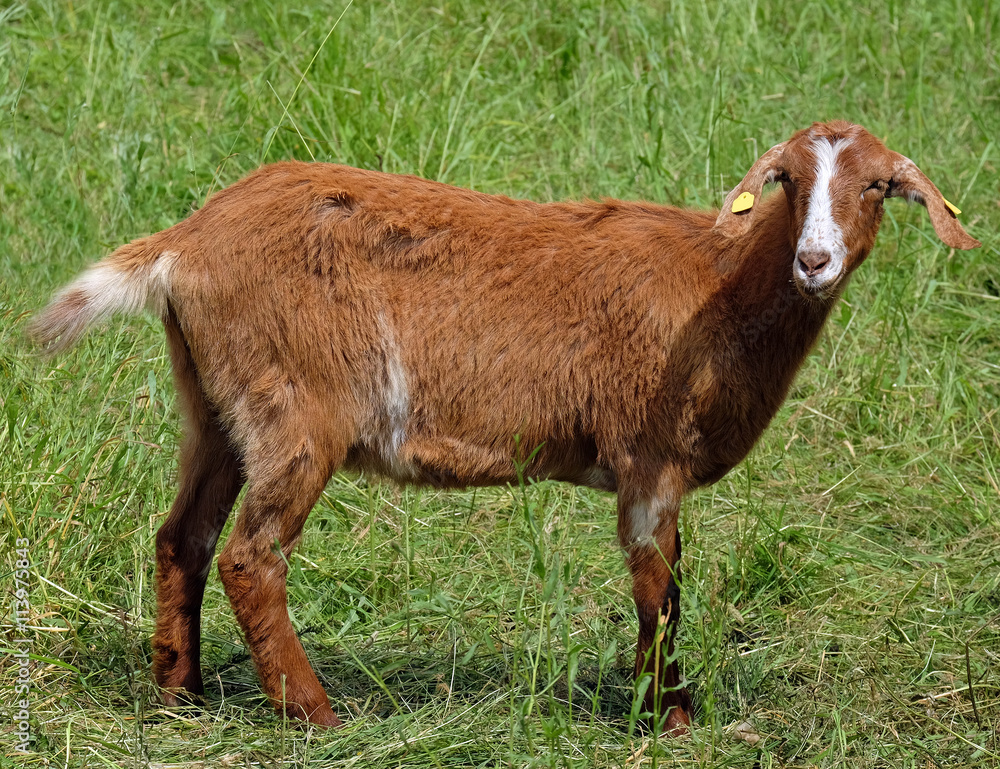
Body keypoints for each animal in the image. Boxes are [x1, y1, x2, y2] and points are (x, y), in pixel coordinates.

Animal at [31, 121, 979, 734]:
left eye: (877, 186)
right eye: (787, 180)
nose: (813, 260)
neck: (719, 287)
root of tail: (184, 241)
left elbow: (668, 586)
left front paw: (669, 704)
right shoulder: (648, 456)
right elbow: (658, 588)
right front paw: (665, 716)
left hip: (214, 403)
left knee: (181, 537)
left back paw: (179, 695)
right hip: (294, 406)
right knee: (250, 555)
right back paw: (317, 716)